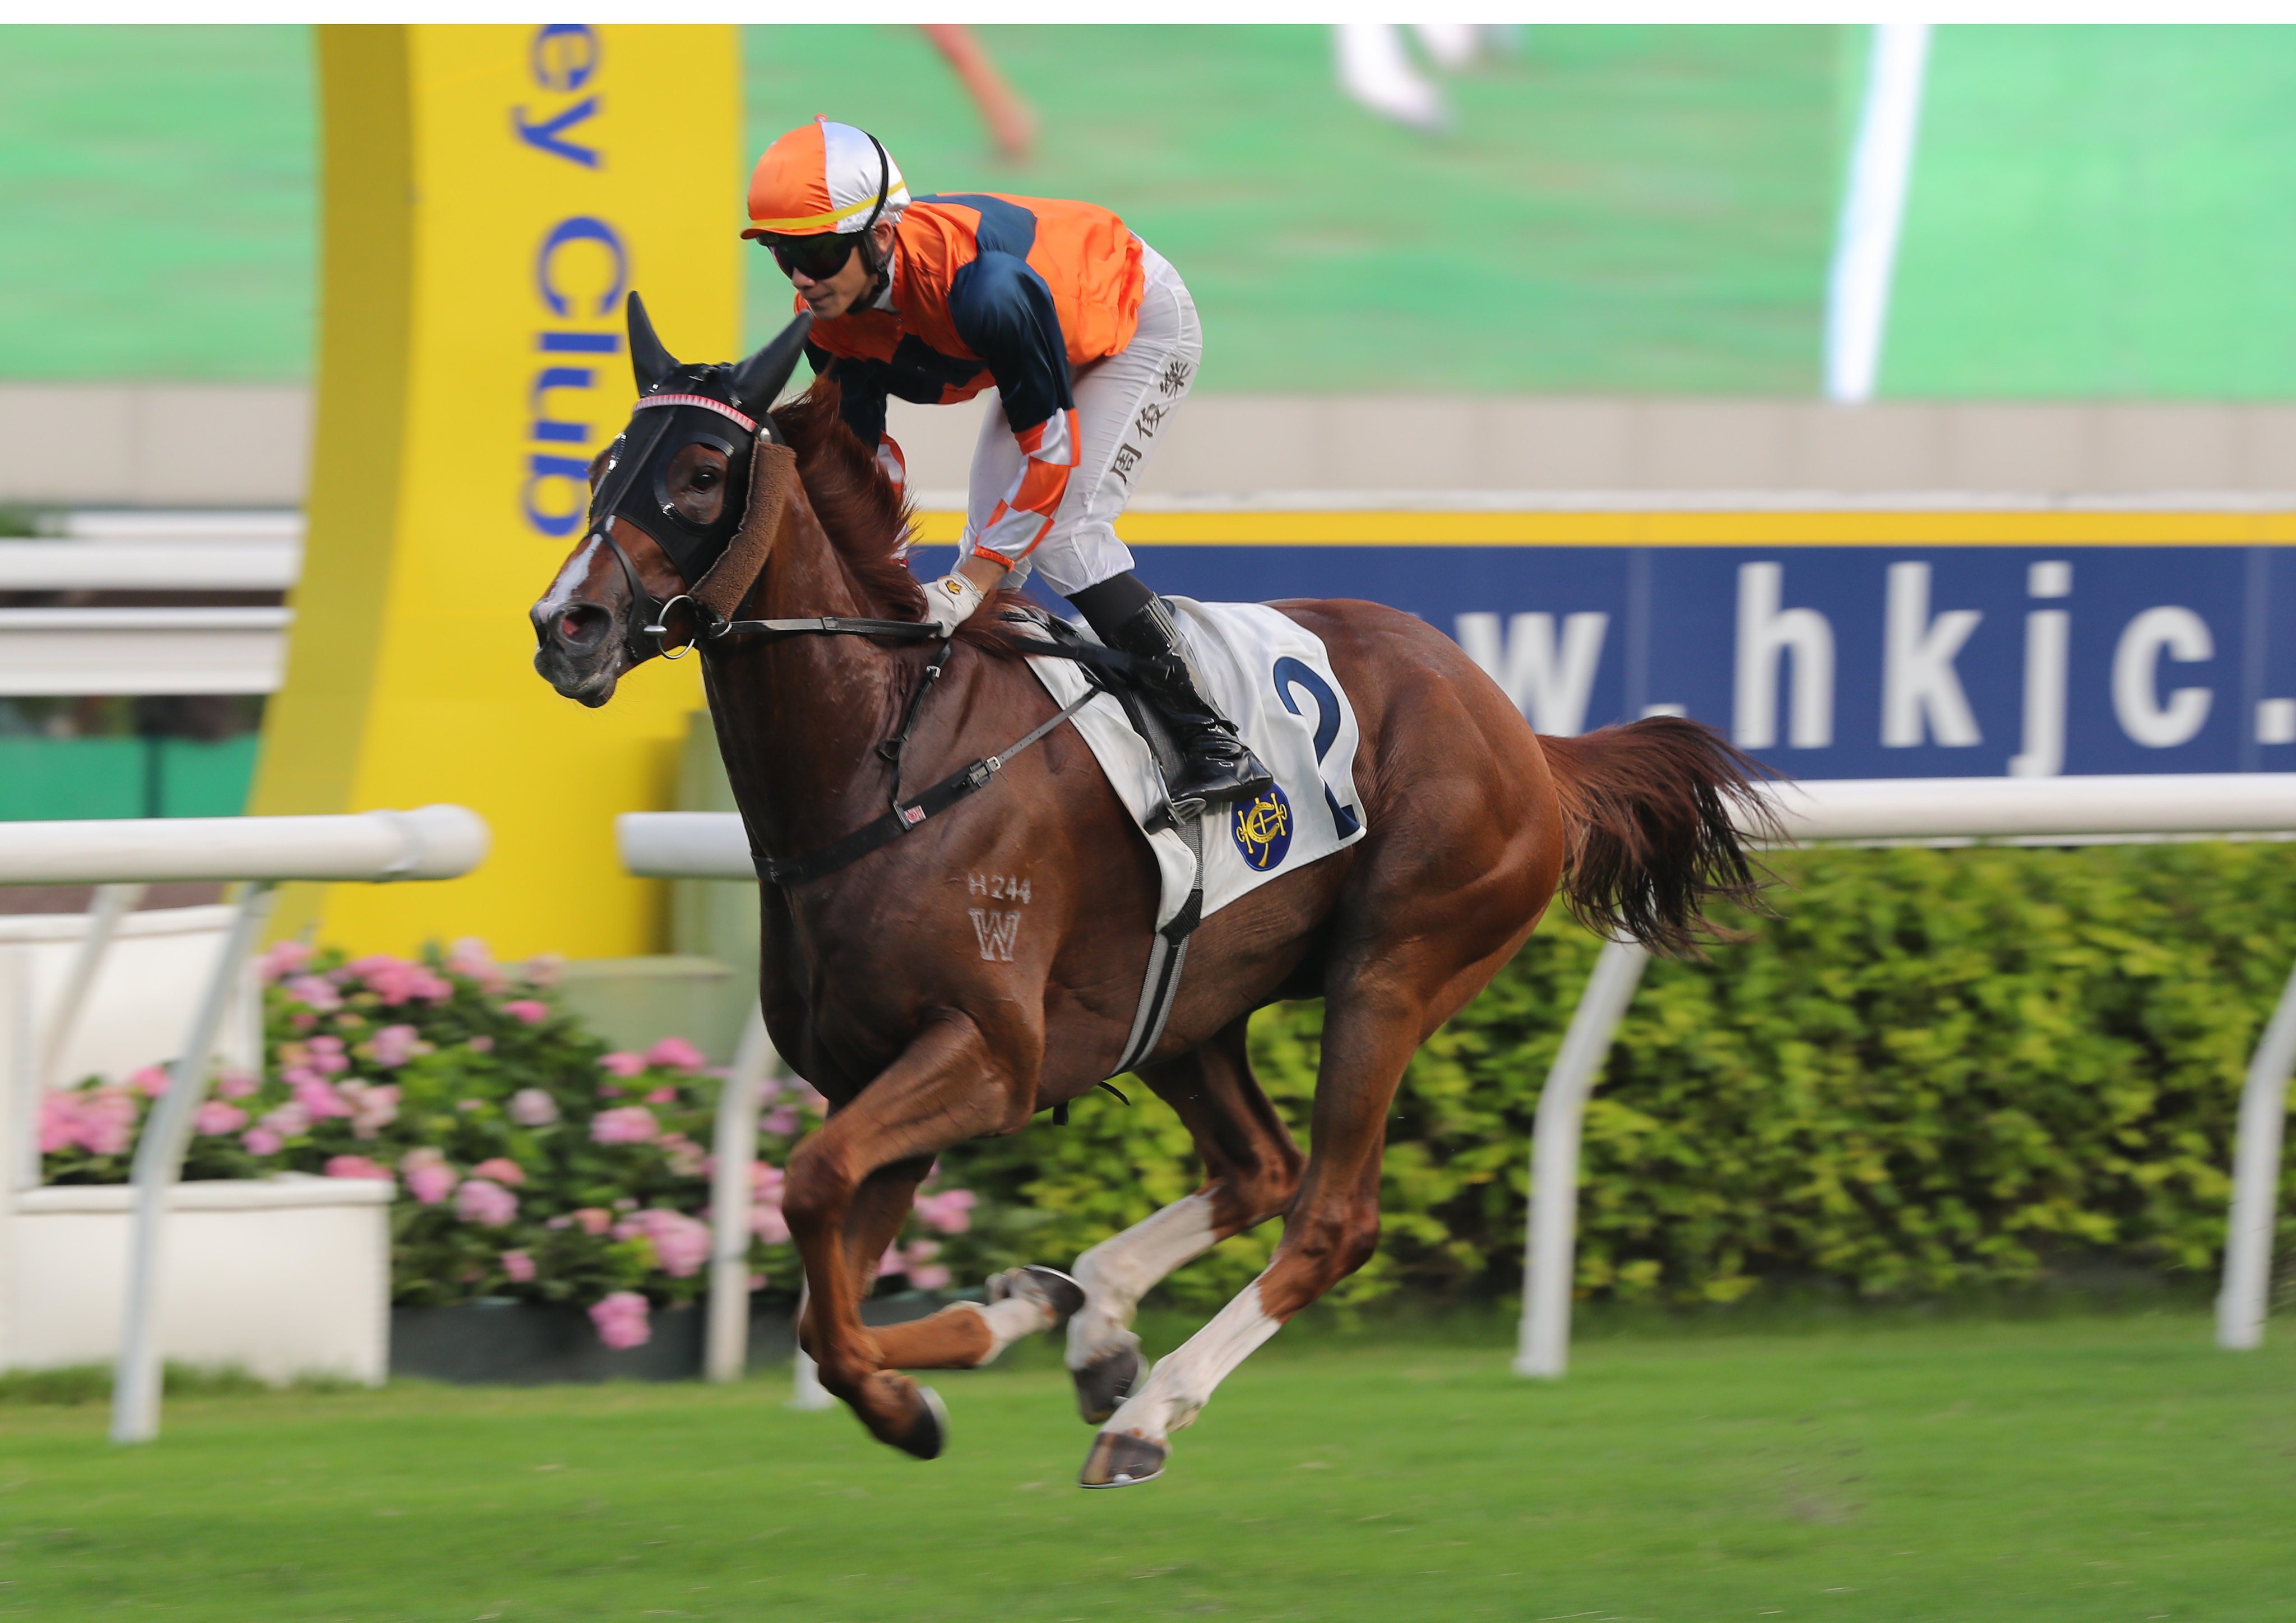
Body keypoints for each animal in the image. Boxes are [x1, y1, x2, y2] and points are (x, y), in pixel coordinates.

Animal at [528, 300, 1763, 1487]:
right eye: (599, 464)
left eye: (699, 473)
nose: (563, 626)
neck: (886, 759)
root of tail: (1521, 732)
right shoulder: (875, 1072)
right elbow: (819, 1294)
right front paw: (987, 1332)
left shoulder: (986, 1055)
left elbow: (814, 1196)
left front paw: (931, 1381)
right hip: (1185, 1005)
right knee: (1257, 1167)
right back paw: (1092, 1319)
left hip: (1397, 969)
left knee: (1330, 1212)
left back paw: (1147, 1412)